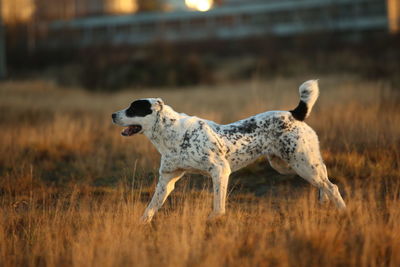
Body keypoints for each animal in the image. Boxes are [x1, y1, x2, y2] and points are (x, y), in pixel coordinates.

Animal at [111, 80, 346, 224]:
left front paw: (213, 220)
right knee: (323, 179)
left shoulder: (220, 170)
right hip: (289, 165)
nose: (113, 115)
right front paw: (140, 225)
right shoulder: (167, 180)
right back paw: (324, 203)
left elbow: (218, 205)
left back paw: (343, 211)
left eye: (133, 108)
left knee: (331, 186)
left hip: (301, 163)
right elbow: (150, 208)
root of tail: (293, 114)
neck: (171, 134)